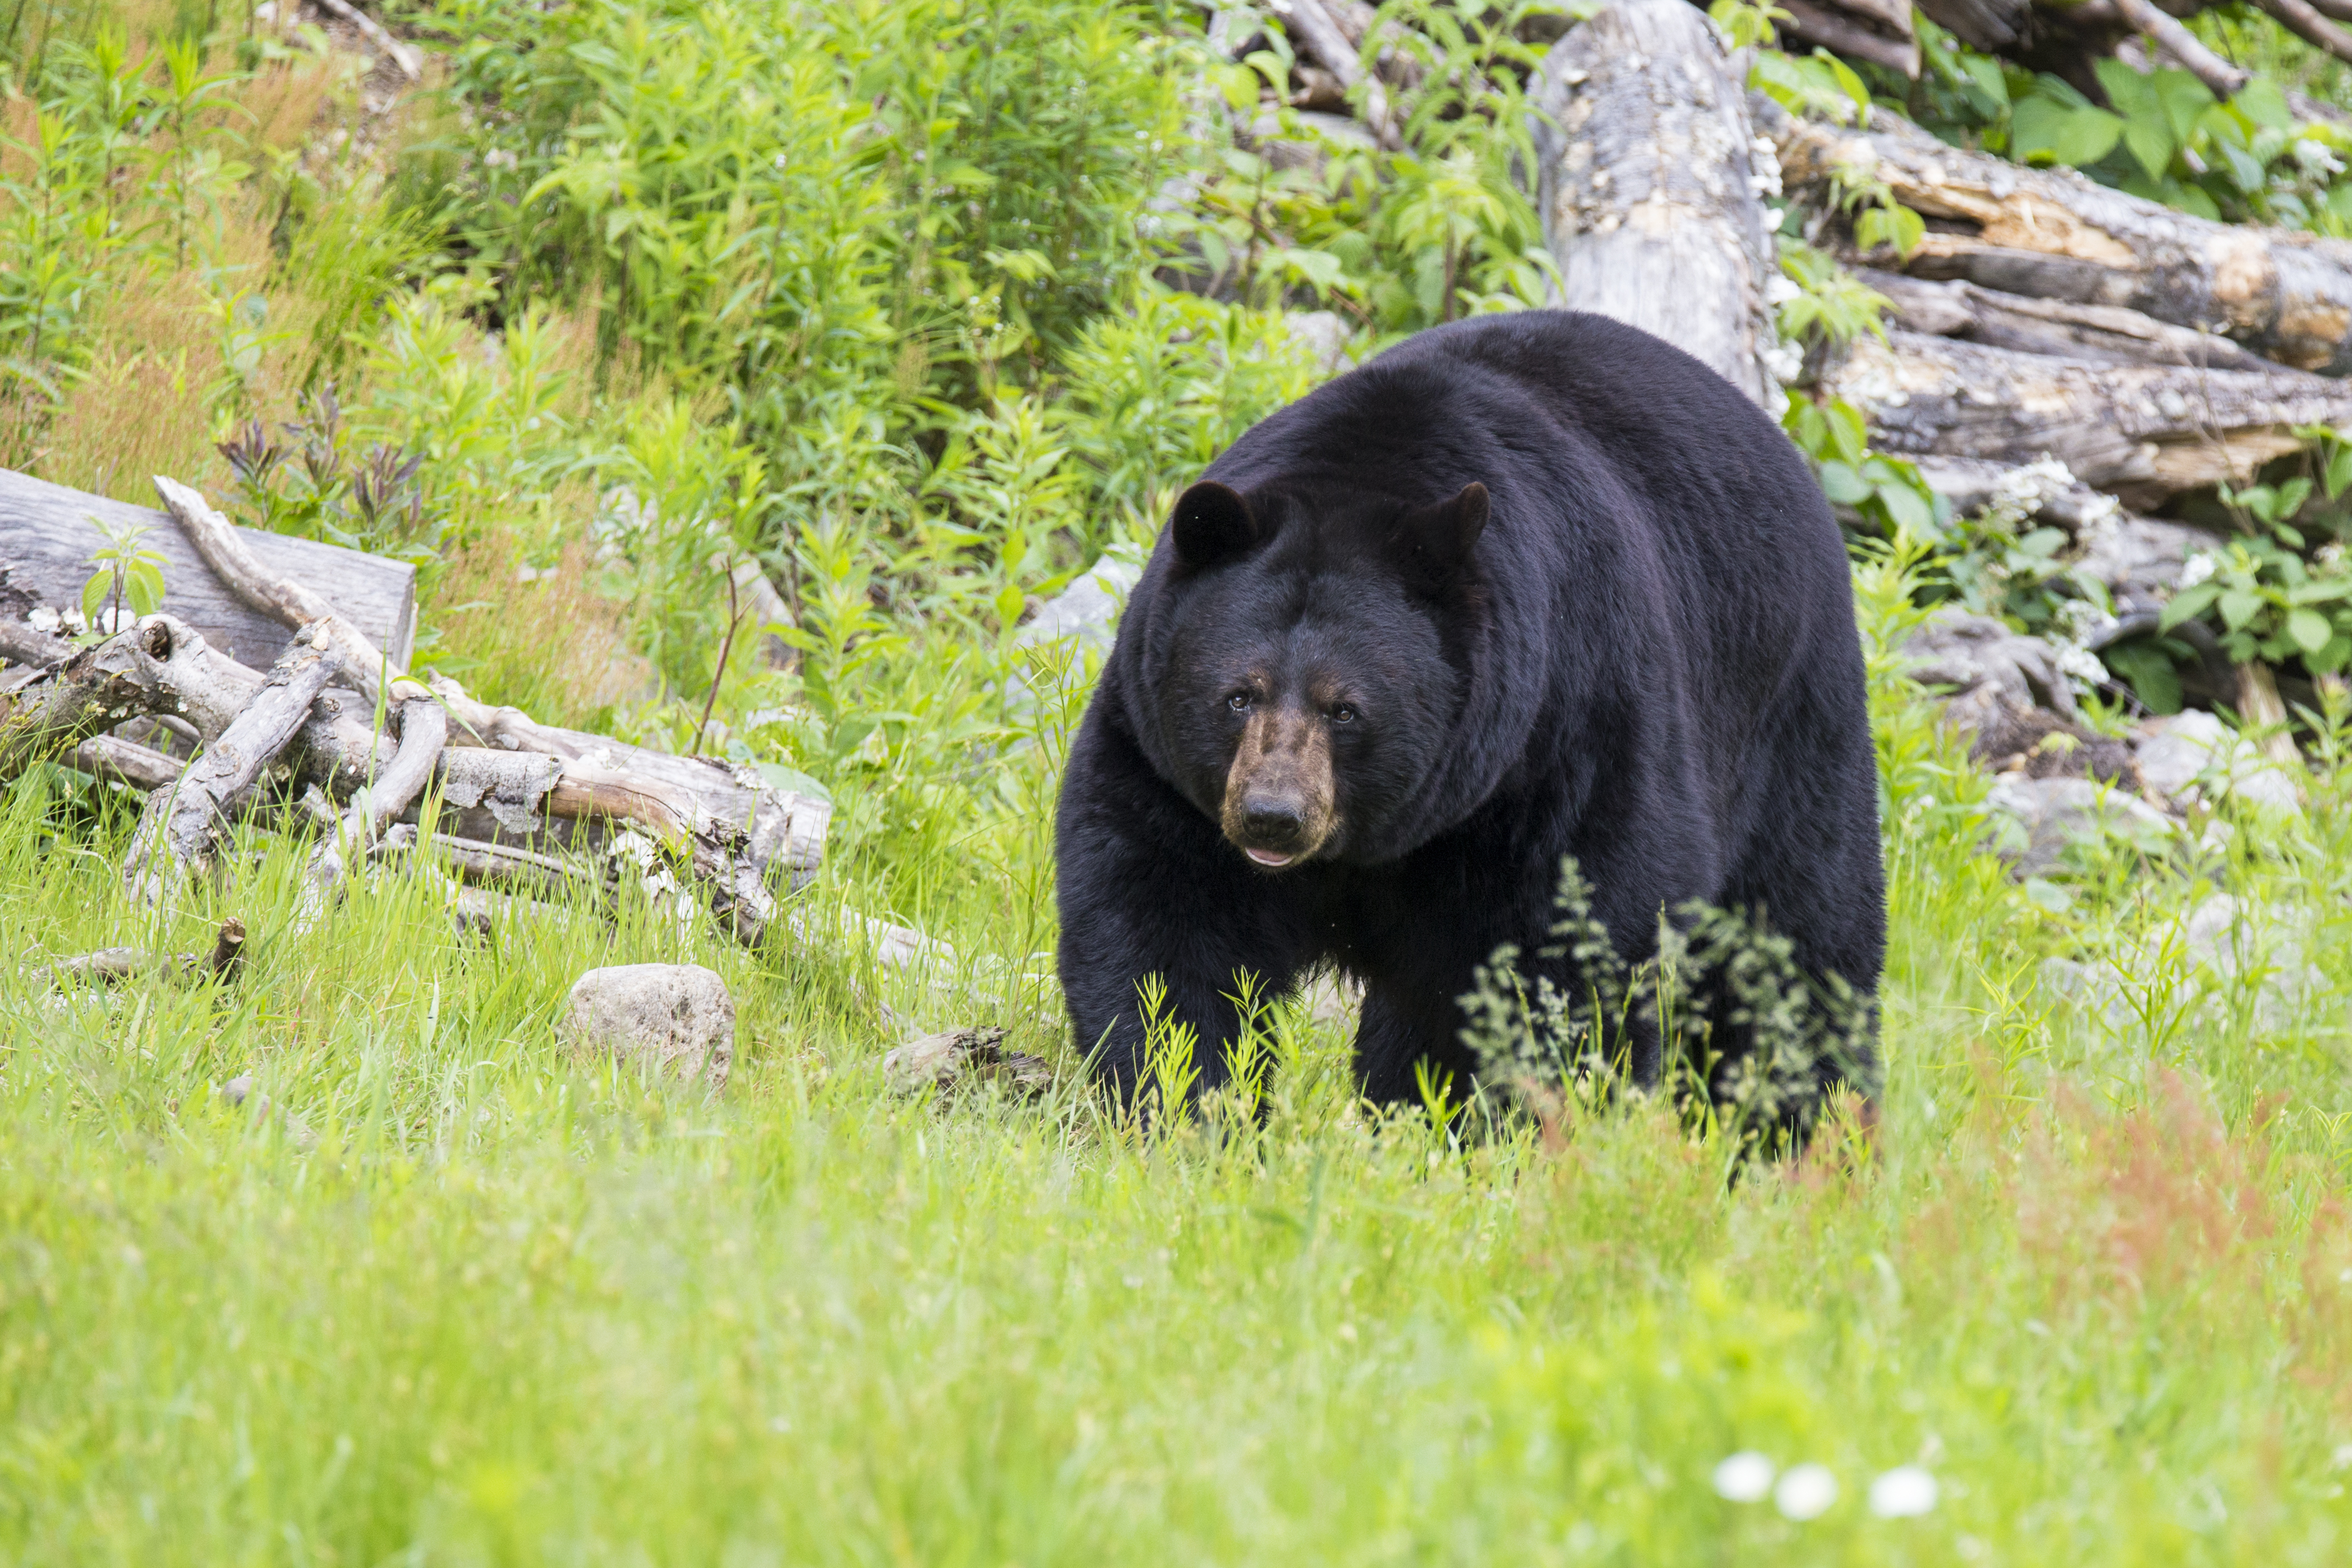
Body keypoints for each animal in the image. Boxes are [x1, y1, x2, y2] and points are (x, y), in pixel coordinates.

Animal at [1058, 312, 1882, 1128]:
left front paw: (1509, 1117)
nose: (1273, 817)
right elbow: (1165, 925)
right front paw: (1184, 1102)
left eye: (1345, 708)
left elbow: (1571, 942)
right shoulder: (1162, 759)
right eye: (1238, 695)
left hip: (1789, 718)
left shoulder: (1565, 732)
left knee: (1798, 943)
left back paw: (1804, 1122)